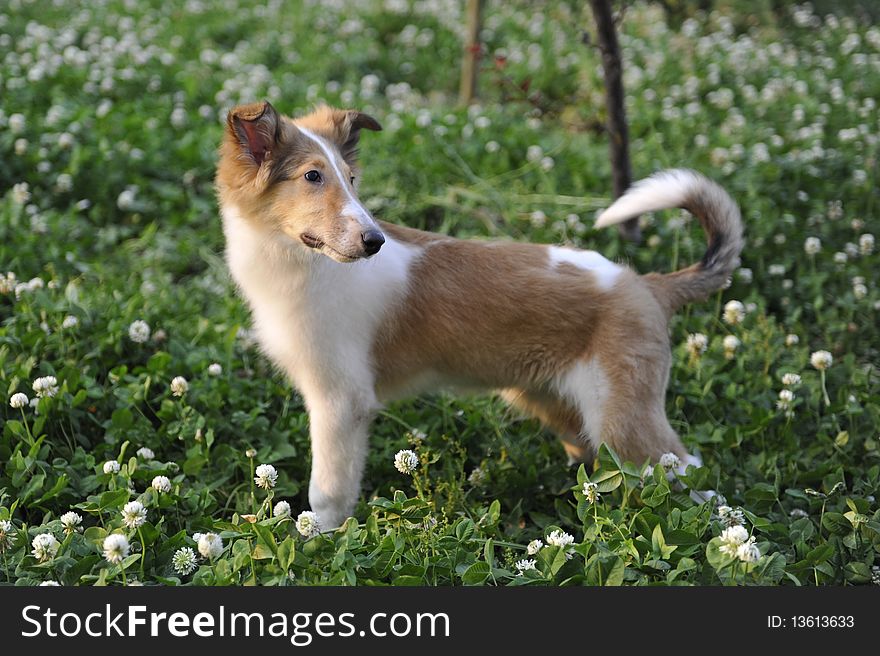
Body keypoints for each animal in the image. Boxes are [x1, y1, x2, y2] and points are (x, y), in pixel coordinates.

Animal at [215, 101, 744, 528]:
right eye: (312, 176)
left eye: (351, 179)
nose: (374, 241)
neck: (305, 266)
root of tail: (647, 285)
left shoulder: (342, 402)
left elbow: (326, 494)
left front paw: (318, 546)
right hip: (562, 406)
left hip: (625, 419)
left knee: (694, 476)